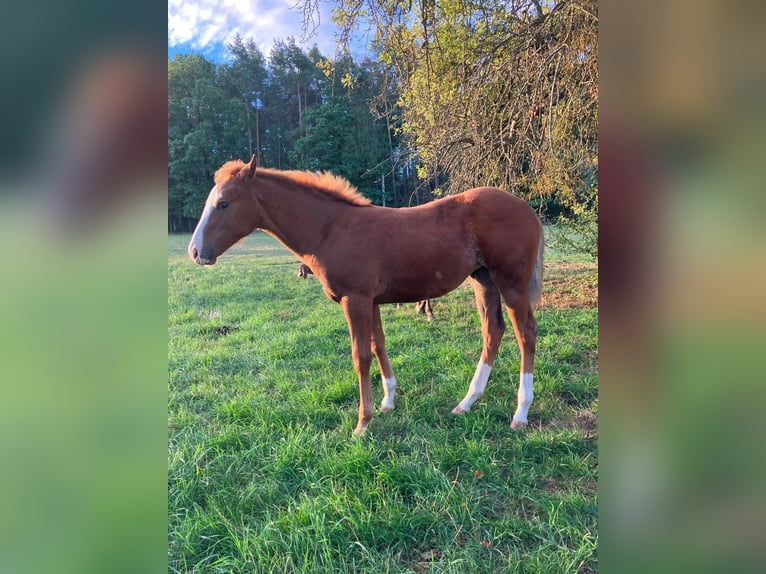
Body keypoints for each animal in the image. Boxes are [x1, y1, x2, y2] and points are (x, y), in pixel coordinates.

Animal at [188, 156, 543, 436]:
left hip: (510, 281)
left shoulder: (355, 299)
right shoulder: (371, 301)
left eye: (223, 203)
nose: (195, 252)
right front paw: (388, 402)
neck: (330, 230)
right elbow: (378, 345)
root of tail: (527, 209)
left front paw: (362, 422)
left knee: (525, 333)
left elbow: (360, 356)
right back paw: (466, 403)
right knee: (493, 330)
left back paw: (520, 413)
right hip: (483, 280)